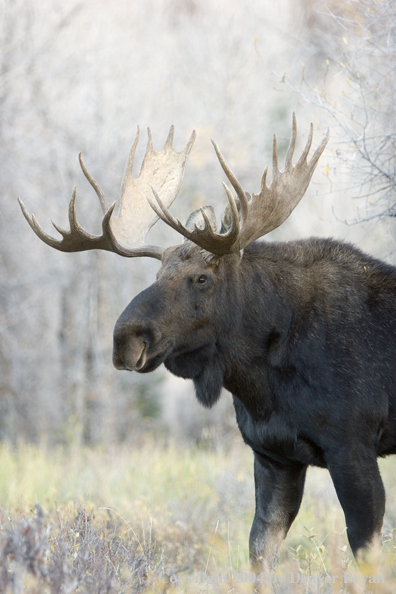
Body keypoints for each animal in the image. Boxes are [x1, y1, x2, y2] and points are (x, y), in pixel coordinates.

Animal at [19, 113, 396, 568]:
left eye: (201, 278)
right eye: (156, 275)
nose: (125, 339)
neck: (261, 383)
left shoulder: (353, 445)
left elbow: (366, 551)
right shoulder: (272, 455)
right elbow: (259, 550)